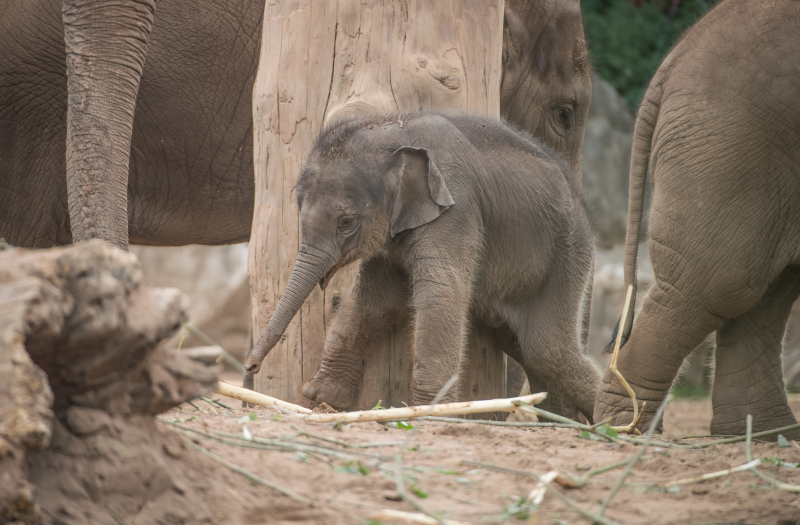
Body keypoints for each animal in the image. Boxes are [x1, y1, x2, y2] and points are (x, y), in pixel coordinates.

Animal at [243, 112, 601, 417]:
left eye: (346, 222)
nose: (249, 367)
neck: (393, 129)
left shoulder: (456, 209)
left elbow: (440, 295)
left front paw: (429, 412)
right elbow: (373, 301)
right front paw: (320, 398)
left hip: (569, 252)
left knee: (547, 348)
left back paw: (609, 419)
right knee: (524, 347)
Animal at [593, 0, 800, 439]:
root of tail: (674, 58)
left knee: (765, 292)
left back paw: (766, 436)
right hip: (735, 145)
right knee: (719, 283)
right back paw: (626, 428)